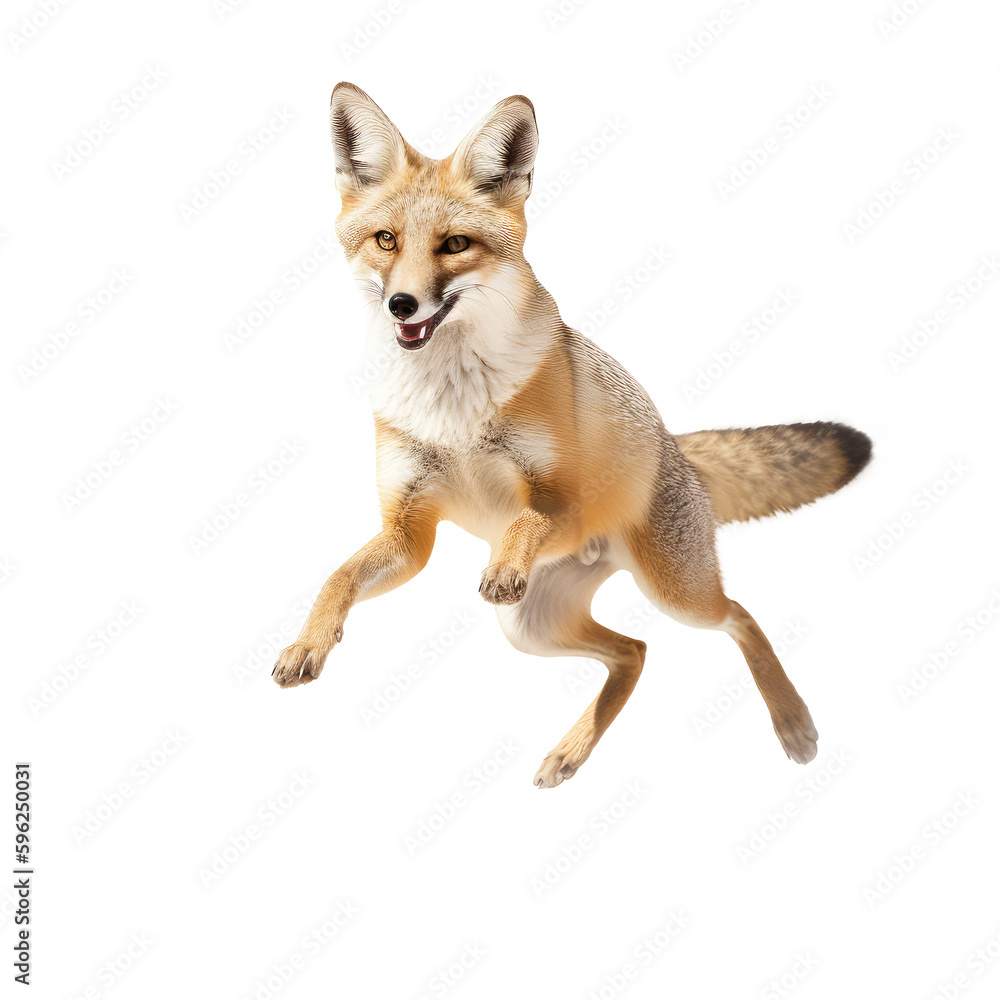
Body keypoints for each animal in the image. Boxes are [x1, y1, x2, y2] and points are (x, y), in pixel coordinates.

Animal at [272, 82, 872, 788]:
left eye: (455, 245)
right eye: (386, 240)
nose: (403, 306)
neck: (452, 410)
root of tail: (675, 448)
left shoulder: (561, 497)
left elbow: (525, 522)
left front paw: (505, 561)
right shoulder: (409, 532)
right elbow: (336, 578)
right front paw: (311, 642)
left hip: (675, 594)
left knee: (741, 618)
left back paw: (794, 723)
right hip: (530, 627)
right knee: (634, 651)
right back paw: (571, 751)